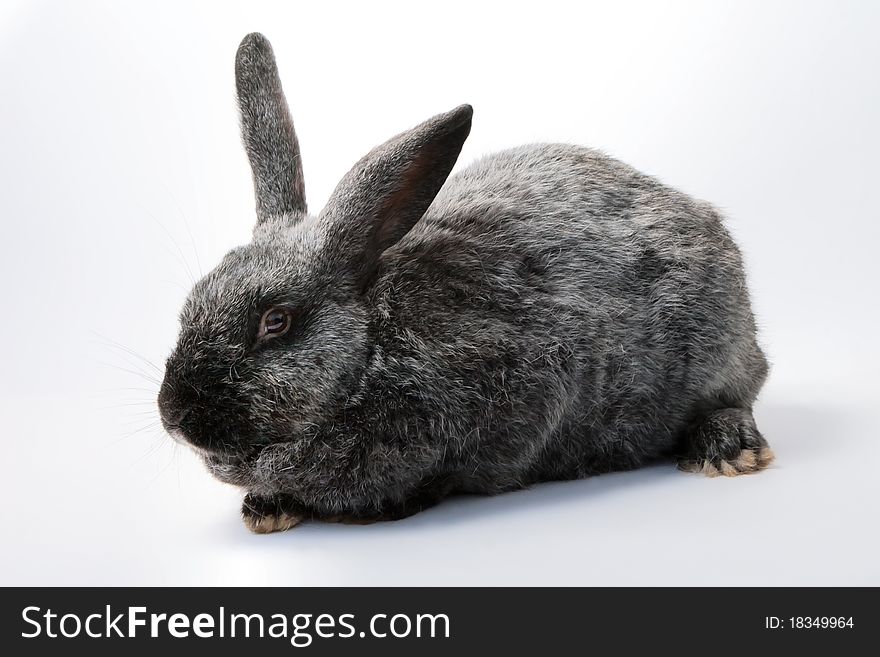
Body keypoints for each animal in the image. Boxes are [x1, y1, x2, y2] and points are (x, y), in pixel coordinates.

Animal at [158, 32, 768, 532]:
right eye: (190, 304)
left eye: (276, 321)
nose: (174, 416)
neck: (373, 345)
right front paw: (266, 507)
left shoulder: (523, 390)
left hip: (717, 346)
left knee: (738, 394)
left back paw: (727, 449)